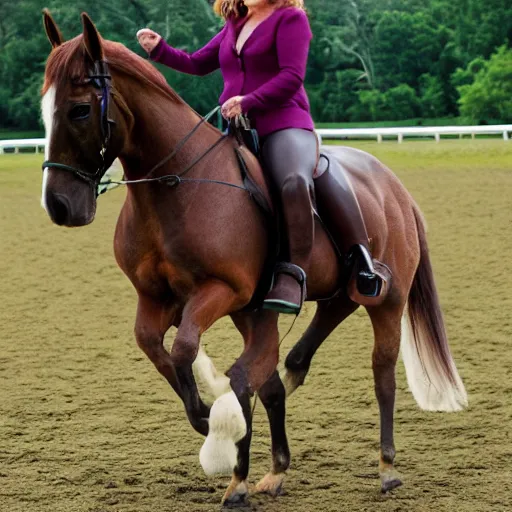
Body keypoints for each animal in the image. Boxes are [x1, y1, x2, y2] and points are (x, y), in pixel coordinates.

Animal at [41, 12, 468, 508]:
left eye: (79, 110)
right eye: (44, 108)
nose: (59, 206)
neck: (178, 183)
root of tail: (395, 188)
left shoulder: (222, 290)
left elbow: (186, 350)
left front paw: (215, 427)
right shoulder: (156, 298)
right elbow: (156, 349)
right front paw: (213, 423)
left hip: (386, 300)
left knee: (381, 371)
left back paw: (386, 467)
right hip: (309, 298)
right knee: (291, 356)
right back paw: (275, 454)